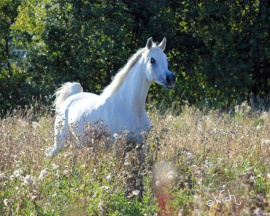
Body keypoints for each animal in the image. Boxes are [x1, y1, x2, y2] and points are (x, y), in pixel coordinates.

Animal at [45, 37, 176, 157]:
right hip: (60, 142)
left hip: (79, 144)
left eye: (167, 59)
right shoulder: (118, 147)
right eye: (152, 60)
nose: (171, 79)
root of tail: (70, 99)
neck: (130, 107)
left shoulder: (141, 145)